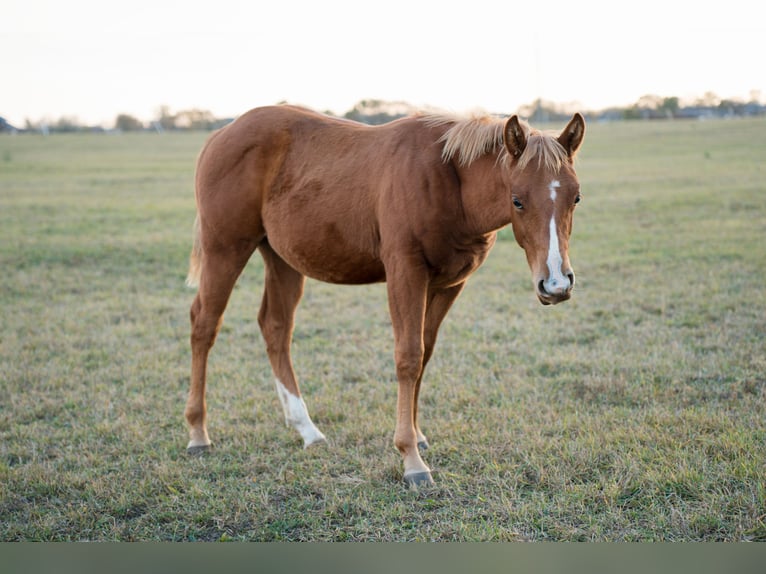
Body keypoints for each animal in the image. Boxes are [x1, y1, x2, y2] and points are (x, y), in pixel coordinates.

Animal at [184, 104, 585, 486]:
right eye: (517, 201)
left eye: (576, 198)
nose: (555, 284)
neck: (448, 179)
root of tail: (222, 134)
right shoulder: (405, 274)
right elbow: (408, 357)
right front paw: (411, 459)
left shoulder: (447, 285)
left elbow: (424, 353)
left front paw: (418, 436)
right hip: (226, 250)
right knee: (204, 325)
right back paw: (198, 433)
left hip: (282, 260)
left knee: (275, 328)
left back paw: (306, 429)